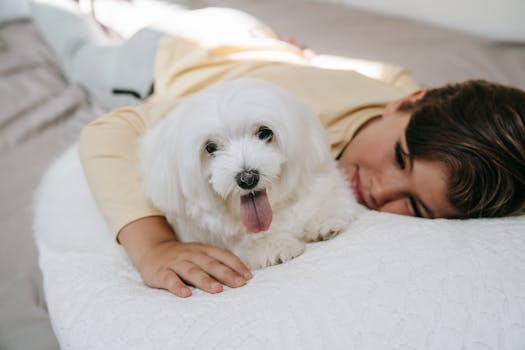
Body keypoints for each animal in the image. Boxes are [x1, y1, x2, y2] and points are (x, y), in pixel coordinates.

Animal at [137, 79, 362, 270]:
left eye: (264, 133)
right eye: (210, 148)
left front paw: (325, 219)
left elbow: (326, 201)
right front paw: (275, 245)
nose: (247, 179)